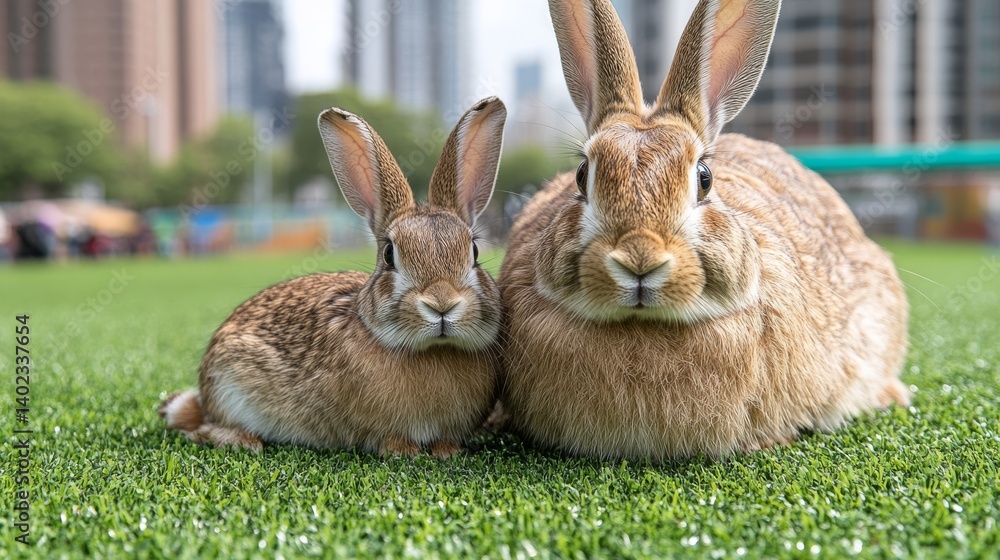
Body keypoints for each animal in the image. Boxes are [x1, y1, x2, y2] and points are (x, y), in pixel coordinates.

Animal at [159, 97, 507, 458]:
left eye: (475, 252)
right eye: (389, 254)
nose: (442, 304)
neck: (433, 350)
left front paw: (447, 451)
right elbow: (392, 441)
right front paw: (404, 452)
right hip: (228, 380)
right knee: (204, 428)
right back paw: (244, 440)